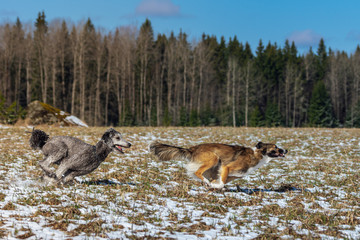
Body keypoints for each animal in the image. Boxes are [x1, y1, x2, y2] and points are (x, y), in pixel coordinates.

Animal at [148, 141, 286, 189]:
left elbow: (223, 180)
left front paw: (214, 185)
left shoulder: (233, 174)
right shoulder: (226, 167)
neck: (258, 155)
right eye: (275, 147)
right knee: (197, 172)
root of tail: (192, 149)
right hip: (214, 158)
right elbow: (222, 182)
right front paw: (215, 185)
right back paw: (206, 182)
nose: (286, 150)